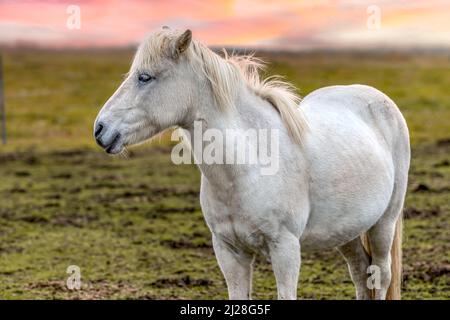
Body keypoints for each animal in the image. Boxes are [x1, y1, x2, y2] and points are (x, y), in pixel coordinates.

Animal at [95, 28, 412, 300]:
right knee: (360, 273)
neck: (247, 166)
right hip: (347, 230)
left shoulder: (285, 248)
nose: (100, 129)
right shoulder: (229, 251)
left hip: (384, 222)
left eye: (145, 77)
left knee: (381, 274)